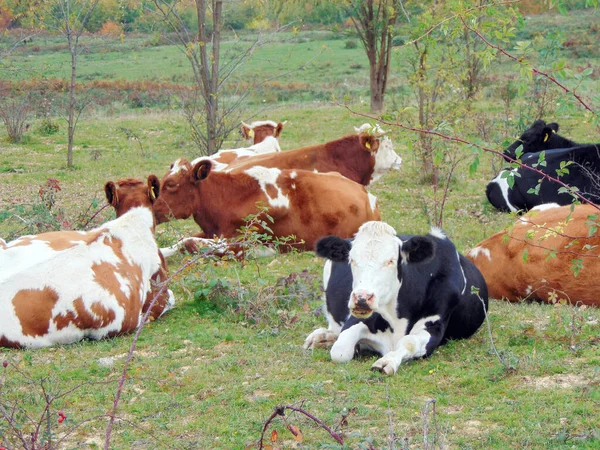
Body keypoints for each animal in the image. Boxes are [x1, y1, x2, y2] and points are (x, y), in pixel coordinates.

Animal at [155, 160, 380, 255]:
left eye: (171, 184)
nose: (152, 209)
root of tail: (364, 192)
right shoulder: (212, 232)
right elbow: (181, 240)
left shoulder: (243, 240)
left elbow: (189, 242)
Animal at [302, 222, 490, 376]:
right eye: (352, 260)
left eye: (391, 261)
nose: (362, 298)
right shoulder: (357, 319)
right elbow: (340, 350)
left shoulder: (434, 326)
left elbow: (408, 343)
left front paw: (386, 361)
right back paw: (322, 337)